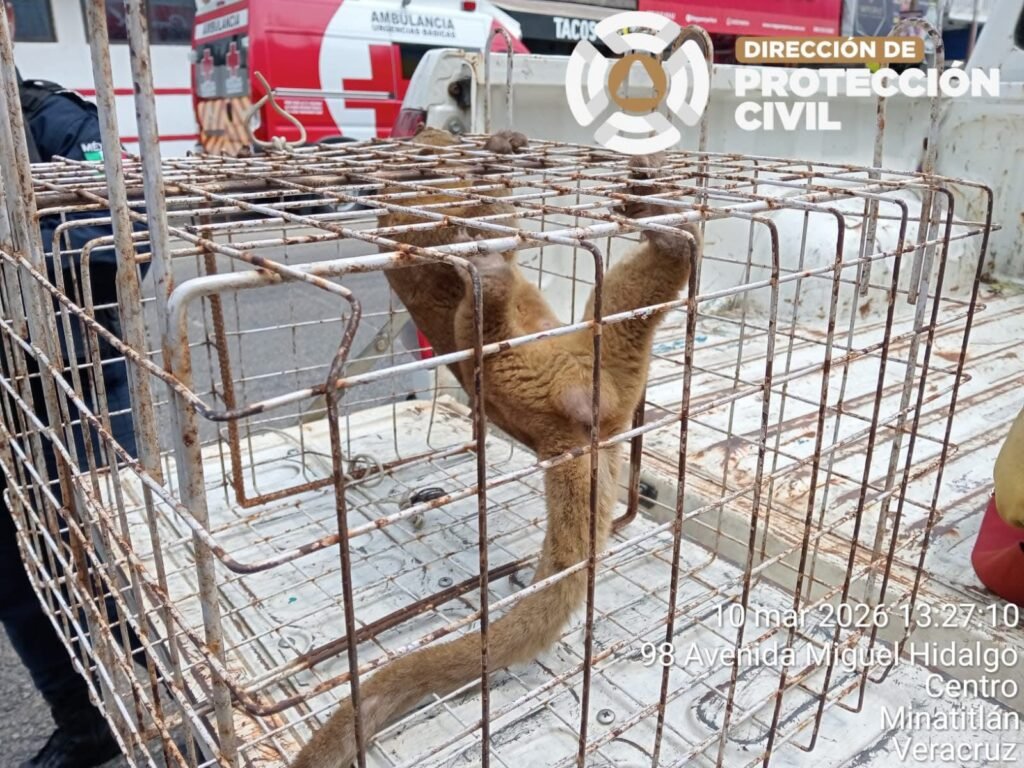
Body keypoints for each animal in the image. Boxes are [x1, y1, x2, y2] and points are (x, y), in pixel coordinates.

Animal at [290, 131, 700, 768]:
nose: (460, 151)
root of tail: (571, 435)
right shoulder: (420, 221)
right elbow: (478, 217)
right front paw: (487, 179)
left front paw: (501, 150)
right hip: (531, 367)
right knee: (481, 323)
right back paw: (501, 277)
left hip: (609, 351)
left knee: (629, 294)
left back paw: (661, 221)